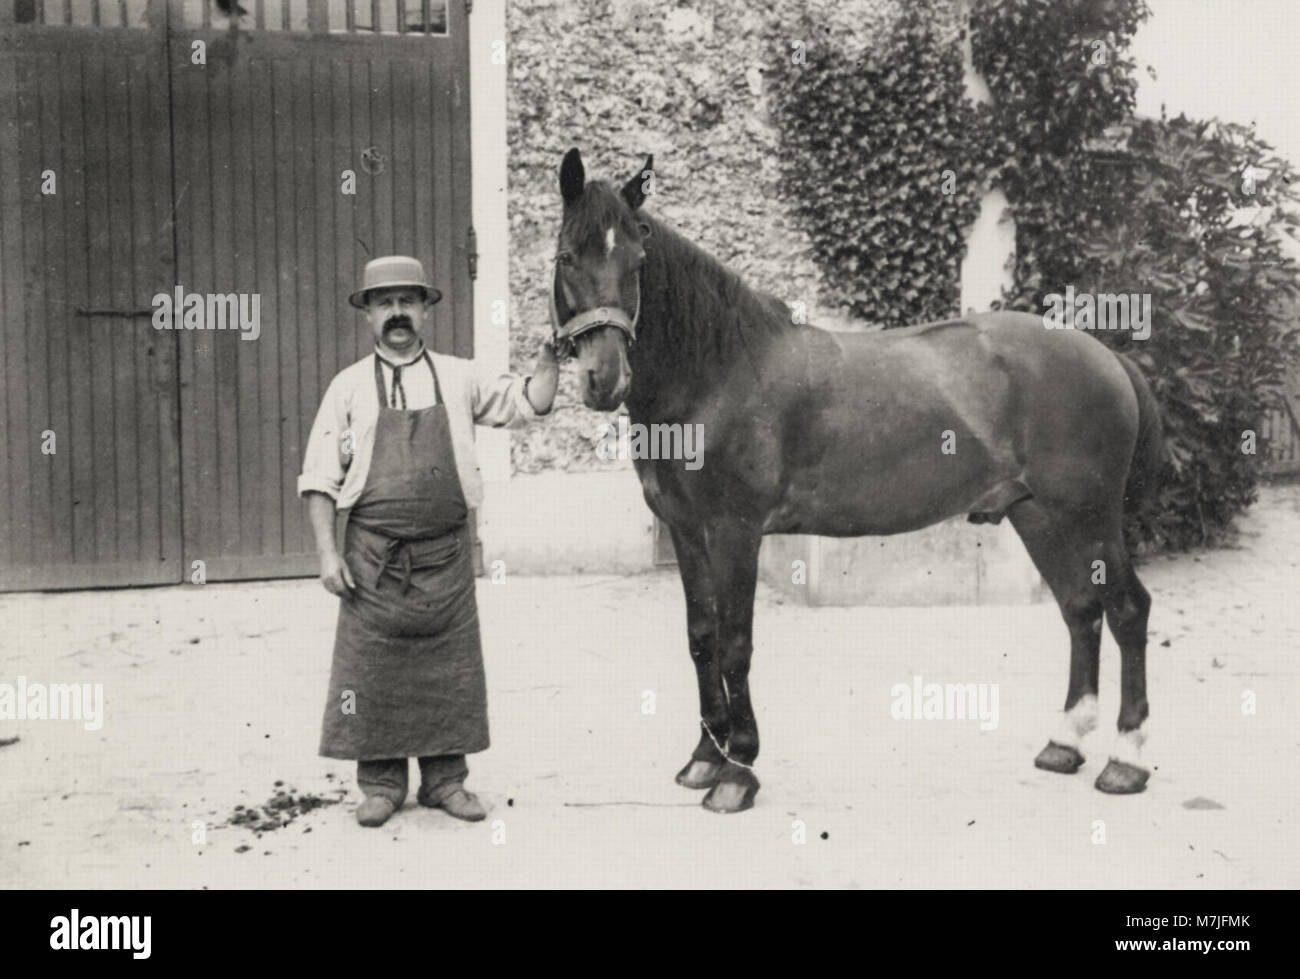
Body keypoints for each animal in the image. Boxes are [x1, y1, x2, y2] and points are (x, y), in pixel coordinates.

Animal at [549, 148, 1164, 813]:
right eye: (566, 256)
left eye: (638, 260)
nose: (605, 377)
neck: (718, 371)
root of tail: (1105, 356)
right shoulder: (688, 532)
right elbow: (702, 638)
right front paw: (703, 759)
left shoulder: (736, 532)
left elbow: (737, 645)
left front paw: (738, 771)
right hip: (1037, 515)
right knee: (1080, 610)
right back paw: (1065, 743)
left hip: (1087, 515)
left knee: (1127, 610)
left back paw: (1126, 761)